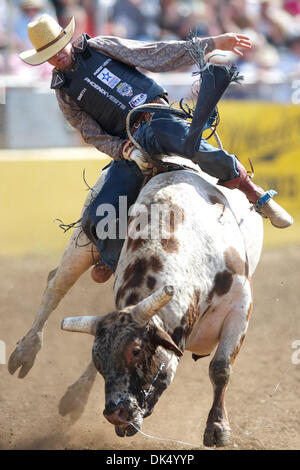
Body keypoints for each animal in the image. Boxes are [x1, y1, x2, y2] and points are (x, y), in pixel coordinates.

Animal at [7, 158, 262, 448]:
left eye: (137, 351)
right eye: (98, 360)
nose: (114, 413)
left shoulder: (240, 307)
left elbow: (220, 368)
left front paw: (217, 427)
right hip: (82, 238)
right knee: (55, 287)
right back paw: (27, 352)